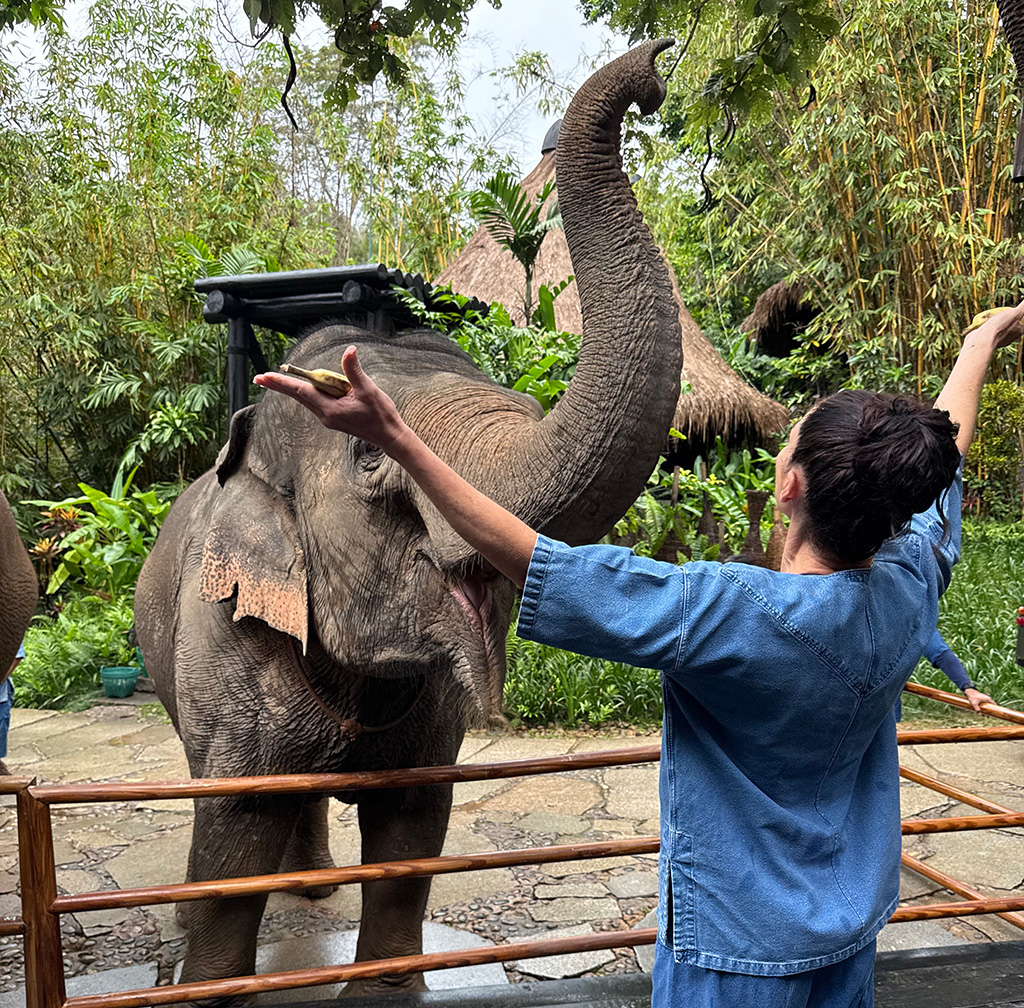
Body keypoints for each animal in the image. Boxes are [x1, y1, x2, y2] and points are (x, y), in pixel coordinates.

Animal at [134, 39, 683, 998]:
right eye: (367, 455)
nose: (655, 68)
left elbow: (413, 827)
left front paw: (387, 989)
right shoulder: (226, 644)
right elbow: (231, 839)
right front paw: (204, 980)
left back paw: (315, 890)